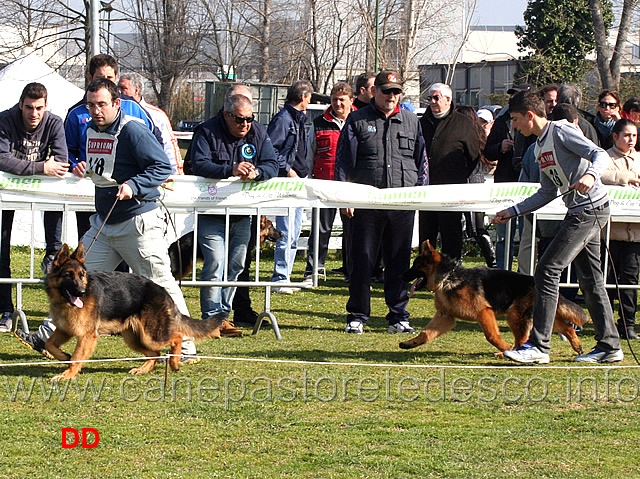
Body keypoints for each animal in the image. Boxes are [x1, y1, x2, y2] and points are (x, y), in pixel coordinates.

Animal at [45, 244, 235, 382]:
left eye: (81, 275)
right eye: (69, 275)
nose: (82, 292)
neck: (63, 300)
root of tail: (163, 291)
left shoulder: (86, 336)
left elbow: (77, 357)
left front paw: (67, 374)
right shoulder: (64, 330)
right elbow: (49, 344)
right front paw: (63, 356)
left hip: (152, 335)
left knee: (177, 337)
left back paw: (174, 363)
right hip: (135, 339)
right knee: (155, 353)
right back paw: (143, 369)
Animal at [402, 240, 588, 356]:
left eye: (415, 266)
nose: (401, 276)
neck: (448, 277)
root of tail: (536, 281)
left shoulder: (484, 312)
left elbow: (491, 335)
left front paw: (505, 347)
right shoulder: (445, 317)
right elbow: (426, 333)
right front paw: (410, 343)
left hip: (515, 316)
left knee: (522, 339)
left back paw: (510, 353)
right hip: (539, 315)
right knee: (566, 327)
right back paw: (577, 346)